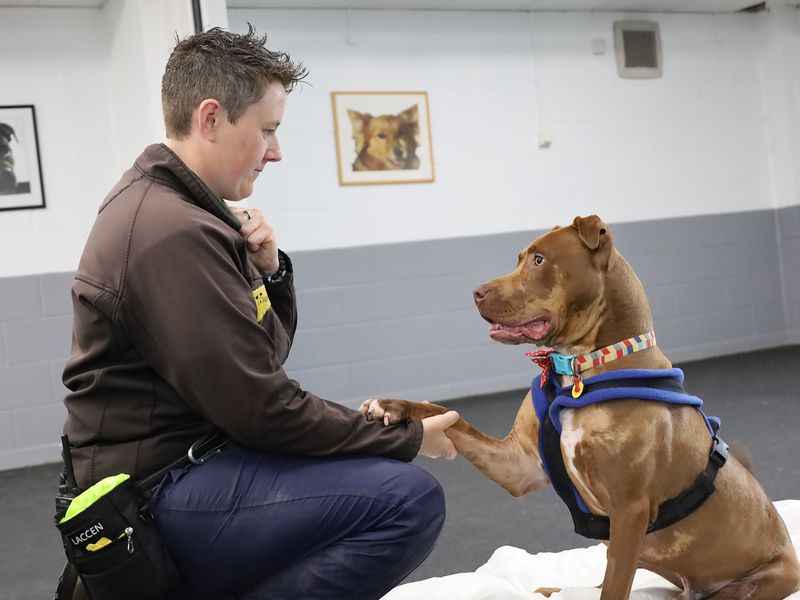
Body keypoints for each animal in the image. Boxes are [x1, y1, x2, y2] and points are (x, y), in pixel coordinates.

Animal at [366, 217, 800, 600]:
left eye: (539, 260)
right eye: (519, 258)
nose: (476, 291)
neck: (579, 370)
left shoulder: (629, 510)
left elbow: (614, 588)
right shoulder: (518, 465)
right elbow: (446, 415)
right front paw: (394, 406)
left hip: (753, 582)